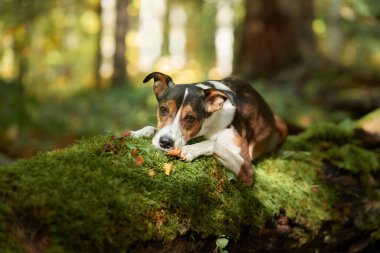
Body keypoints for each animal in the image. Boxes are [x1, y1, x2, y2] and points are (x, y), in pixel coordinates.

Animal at [124, 71, 288, 186]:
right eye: (163, 110)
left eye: (190, 118)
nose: (165, 143)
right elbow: (152, 128)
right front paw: (137, 133)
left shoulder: (246, 168)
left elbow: (212, 144)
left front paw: (189, 150)